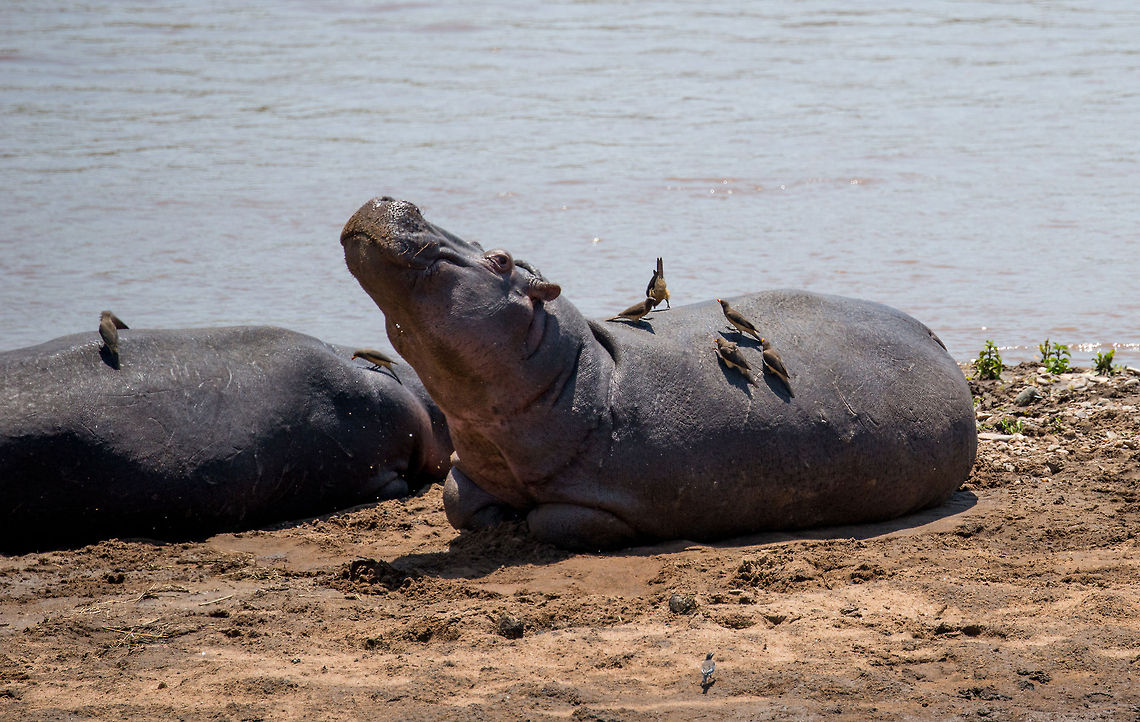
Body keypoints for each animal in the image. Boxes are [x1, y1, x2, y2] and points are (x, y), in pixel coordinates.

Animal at [341, 197, 977, 550]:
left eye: (498, 259)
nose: (399, 201)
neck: (573, 369)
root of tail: (934, 337)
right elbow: (456, 500)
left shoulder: (608, 499)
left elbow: (555, 519)